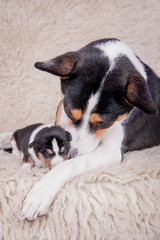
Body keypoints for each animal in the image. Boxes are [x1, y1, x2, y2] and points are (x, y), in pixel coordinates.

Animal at [3, 38, 160, 220]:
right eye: (68, 111)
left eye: (102, 123)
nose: (72, 153)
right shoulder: (59, 125)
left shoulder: (111, 150)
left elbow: (70, 164)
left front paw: (39, 195)